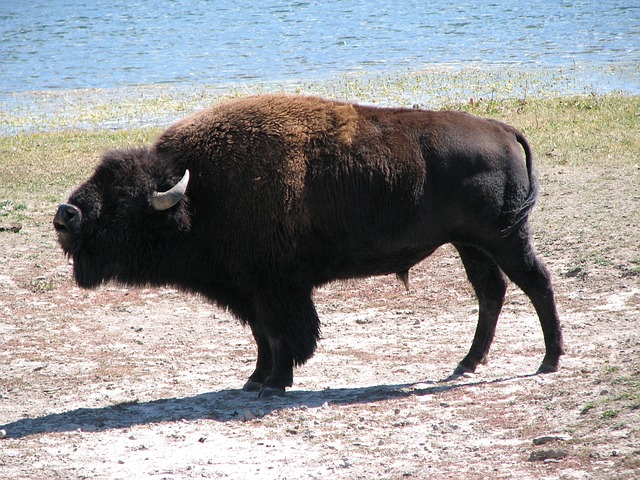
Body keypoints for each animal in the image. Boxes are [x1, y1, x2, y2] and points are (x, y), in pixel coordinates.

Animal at [55, 94, 564, 398]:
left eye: (123, 200)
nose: (66, 216)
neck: (198, 194)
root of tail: (502, 130)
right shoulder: (251, 292)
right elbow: (262, 336)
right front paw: (254, 380)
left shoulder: (278, 289)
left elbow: (284, 336)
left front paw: (275, 383)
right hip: (469, 245)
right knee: (491, 292)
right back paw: (466, 364)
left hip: (504, 238)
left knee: (536, 283)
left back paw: (548, 361)